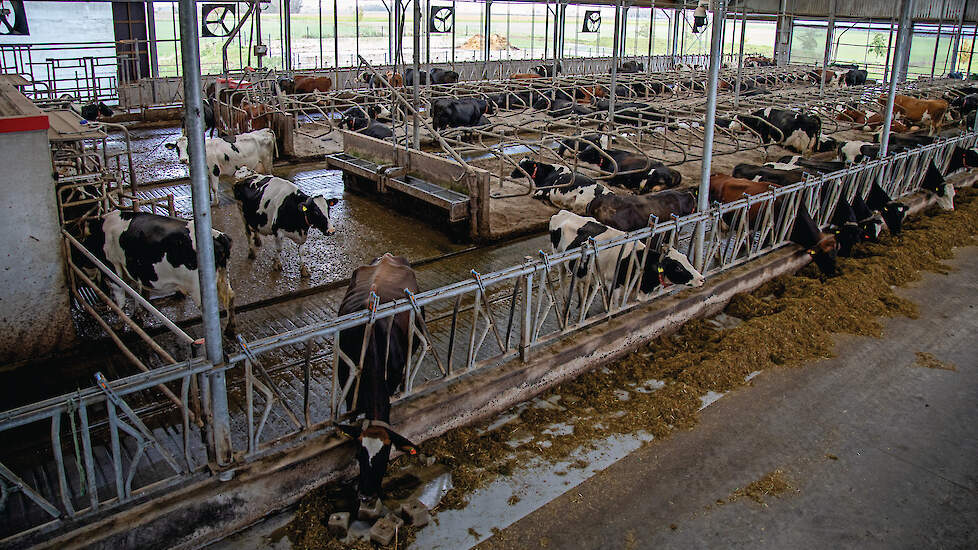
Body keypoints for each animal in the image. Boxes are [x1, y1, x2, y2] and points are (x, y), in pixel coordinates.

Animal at [77, 212, 235, 336]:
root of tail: (219, 236)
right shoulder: (133, 270)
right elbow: (136, 292)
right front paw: (138, 315)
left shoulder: (112, 267)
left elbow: (120, 299)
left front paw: (119, 323)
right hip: (223, 275)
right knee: (229, 297)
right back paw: (230, 330)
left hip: (198, 287)